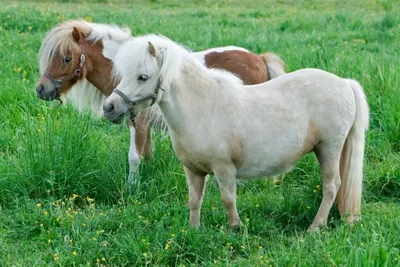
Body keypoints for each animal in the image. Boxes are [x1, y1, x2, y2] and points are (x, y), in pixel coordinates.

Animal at [34, 19, 284, 186]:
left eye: (67, 58)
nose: (41, 89)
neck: (124, 71)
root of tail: (260, 58)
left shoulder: (138, 121)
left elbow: (134, 157)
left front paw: (131, 188)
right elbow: (146, 154)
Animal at [102, 35, 368, 232]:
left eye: (143, 77)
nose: (109, 108)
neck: (202, 108)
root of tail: (344, 83)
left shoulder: (224, 169)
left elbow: (228, 199)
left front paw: (235, 228)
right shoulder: (193, 171)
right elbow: (194, 201)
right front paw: (194, 230)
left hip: (329, 148)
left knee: (332, 186)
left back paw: (315, 227)